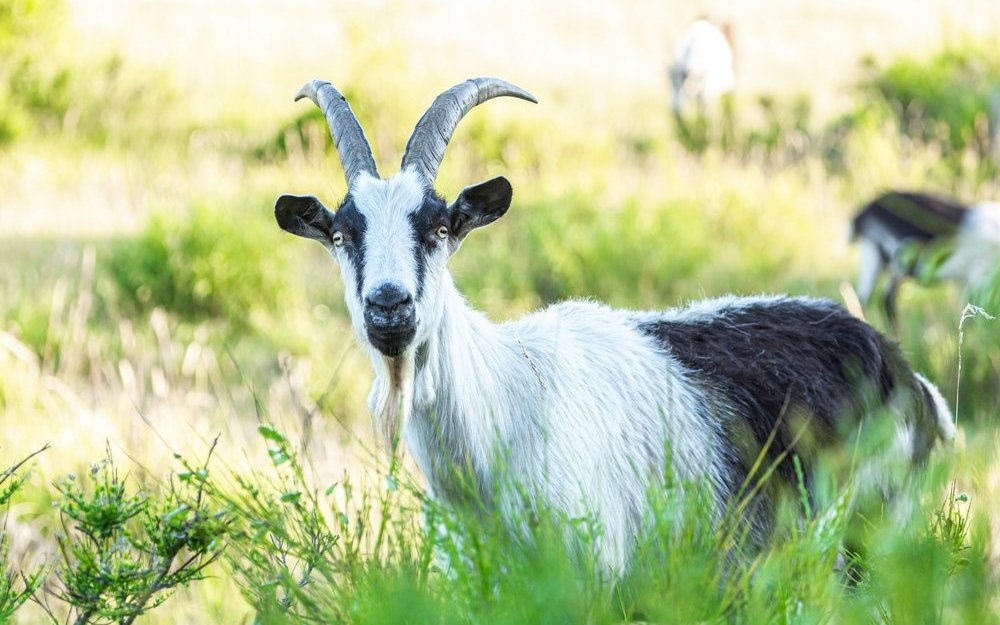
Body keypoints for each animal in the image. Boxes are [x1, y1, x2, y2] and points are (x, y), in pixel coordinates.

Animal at [274, 78, 952, 576]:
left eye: (440, 229)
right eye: (342, 236)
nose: (389, 307)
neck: (507, 398)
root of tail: (908, 376)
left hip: (874, 532)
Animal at [852, 189, 1000, 326]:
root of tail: (866, 211)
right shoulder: (979, 276)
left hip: (882, 257)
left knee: (880, 299)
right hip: (884, 256)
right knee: (873, 299)